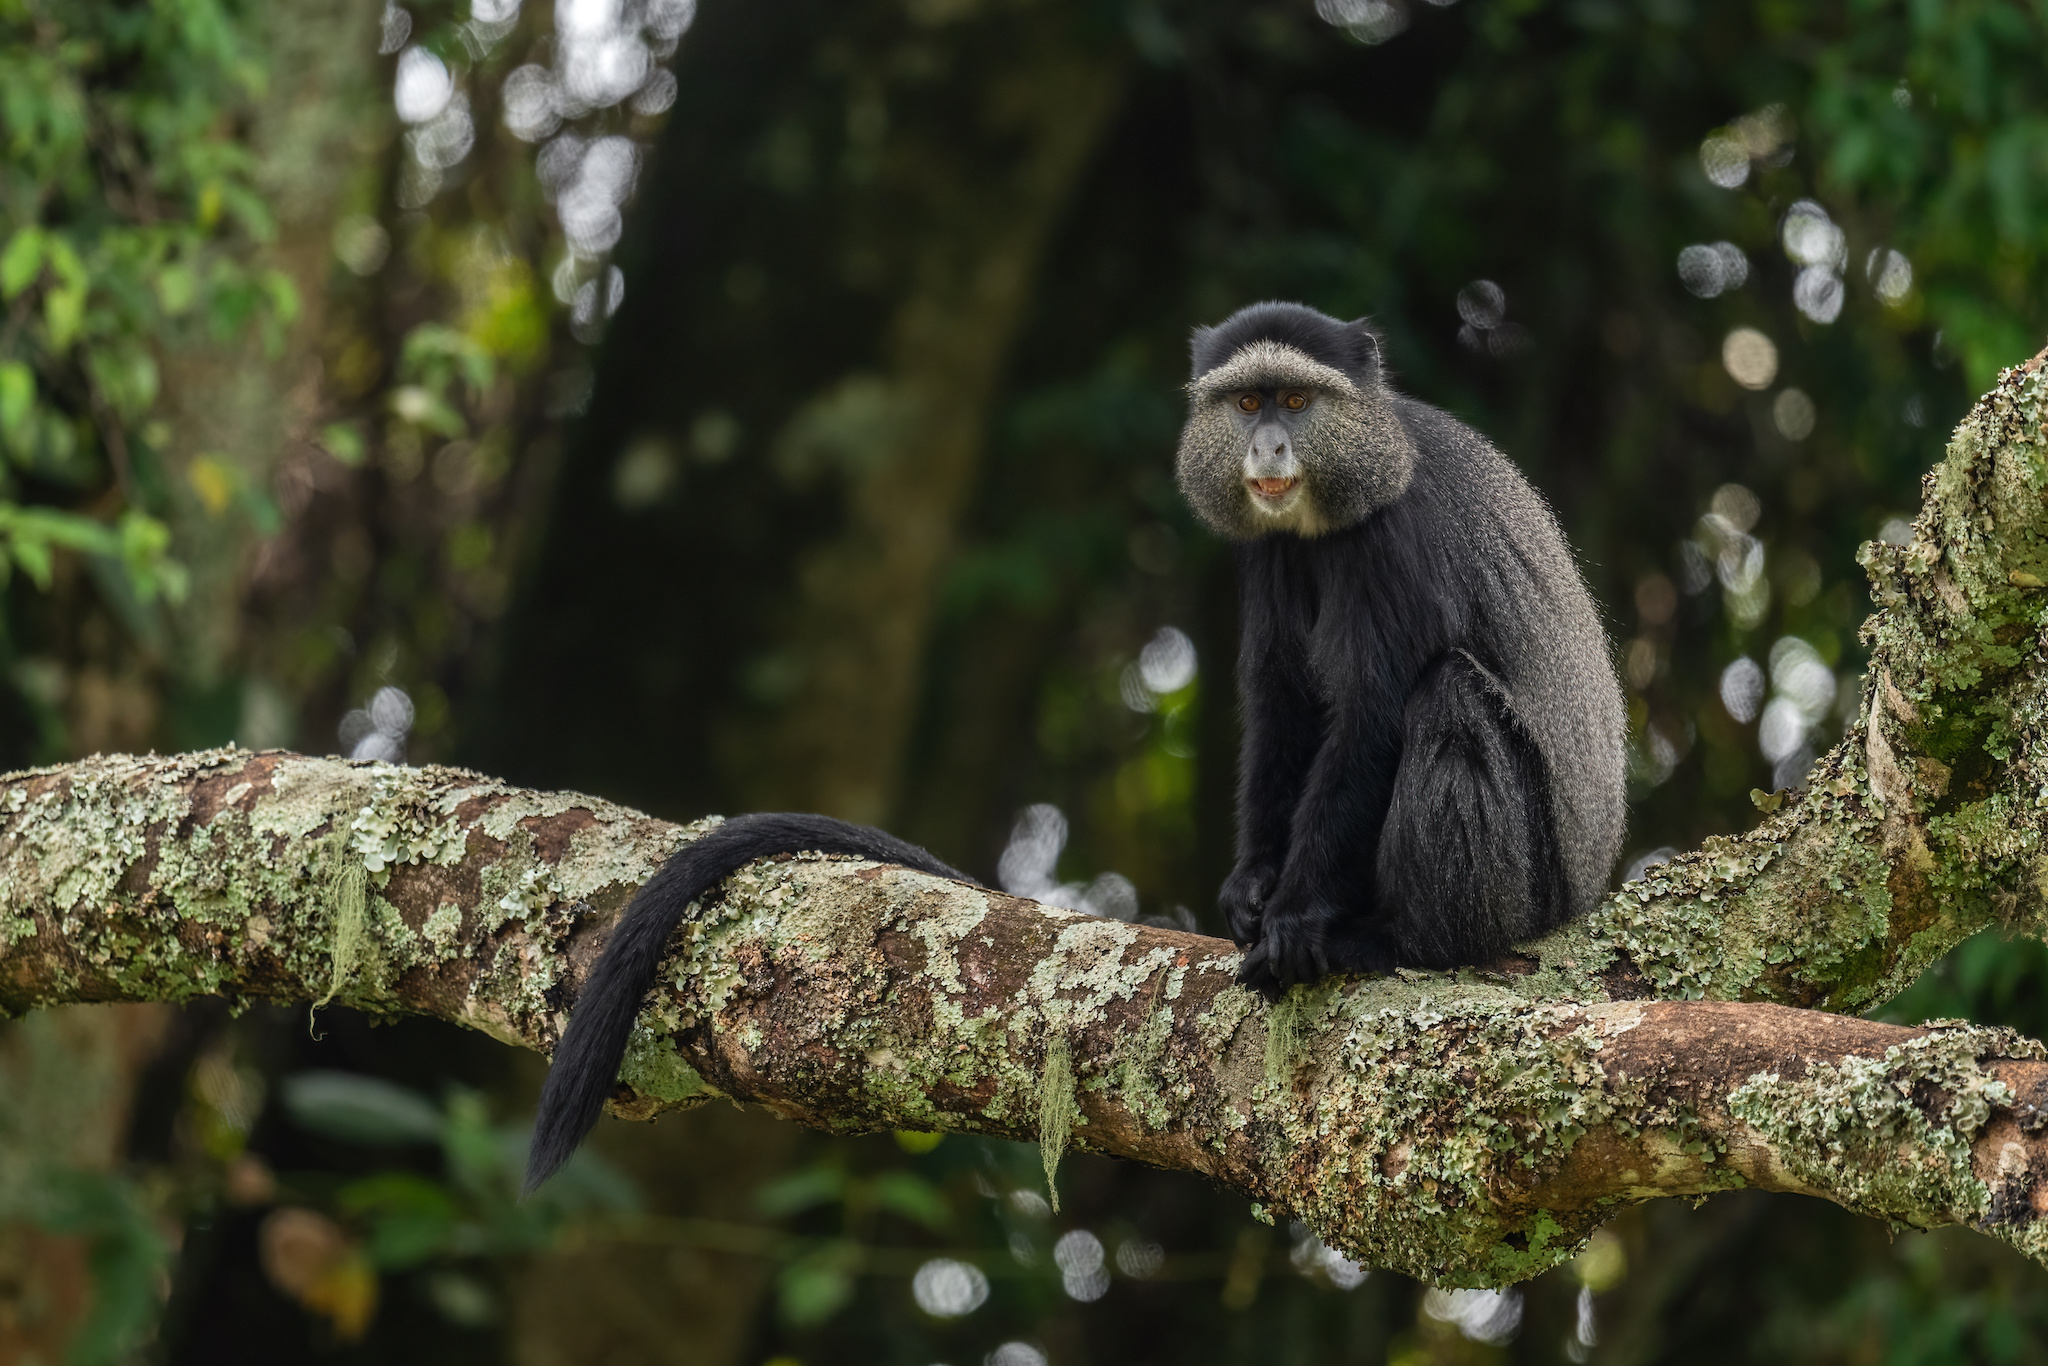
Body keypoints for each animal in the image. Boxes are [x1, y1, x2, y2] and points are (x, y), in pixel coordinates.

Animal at [1178, 301, 1626, 998]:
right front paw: (1250, 884)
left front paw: (1294, 917)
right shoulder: (1271, 552)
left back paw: (1397, 940)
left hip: (1532, 887)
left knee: (1450, 696)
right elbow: (1284, 706)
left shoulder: (1396, 542)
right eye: (1249, 402)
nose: (1268, 447)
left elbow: (1371, 718)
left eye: (1297, 401)